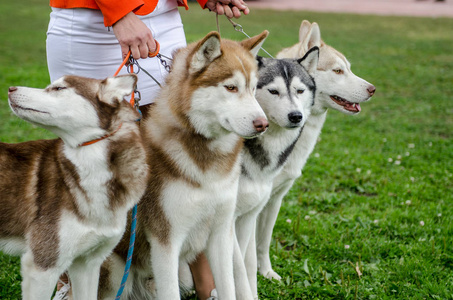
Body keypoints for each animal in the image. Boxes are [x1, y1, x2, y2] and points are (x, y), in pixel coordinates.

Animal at [98, 31, 268, 300]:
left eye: (253, 89)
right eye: (231, 87)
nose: (264, 123)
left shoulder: (221, 234)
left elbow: (229, 286)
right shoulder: (165, 242)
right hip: (114, 268)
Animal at [254, 20, 374, 282]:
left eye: (349, 68)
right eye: (338, 71)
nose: (373, 89)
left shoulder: (273, 199)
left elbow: (262, 243)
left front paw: (266, 273)